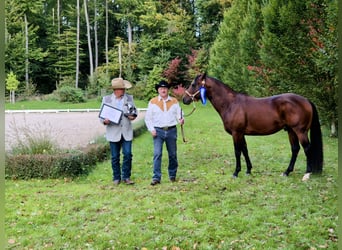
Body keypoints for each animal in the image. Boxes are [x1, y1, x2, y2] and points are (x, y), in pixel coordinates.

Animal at [182, 73, 324, 181]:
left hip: (300, 131)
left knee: (307, 149)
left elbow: (237, 151)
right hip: (291, 131)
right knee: (295, 149)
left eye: (193, 84)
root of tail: (306, 100)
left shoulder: (236, 133)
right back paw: (286, 172)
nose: (184, 99)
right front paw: (248, 171)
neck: (231, 104)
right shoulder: (241, 134)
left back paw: (307, 174)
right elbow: (245, 150)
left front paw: (236, 172)